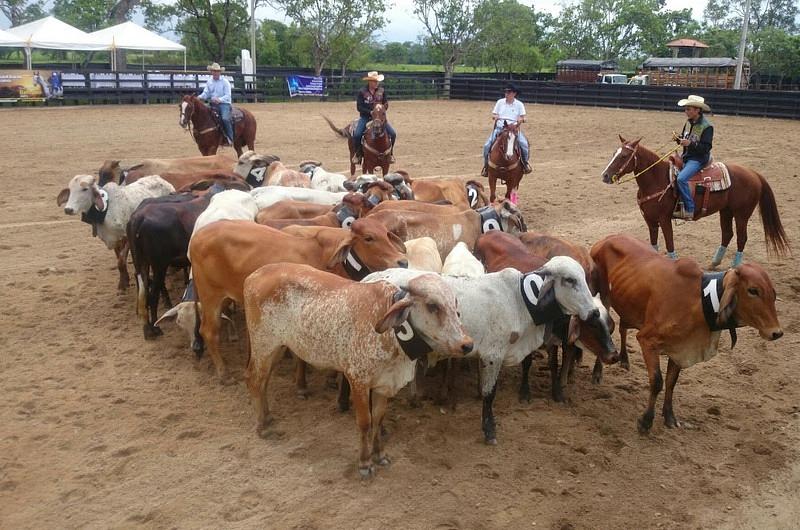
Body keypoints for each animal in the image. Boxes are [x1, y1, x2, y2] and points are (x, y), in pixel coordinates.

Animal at [191, 217, 410, 382]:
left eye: (387, 234)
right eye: (368, 238)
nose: (402, 261)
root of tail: (198, 236)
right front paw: (302, 382)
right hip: (210, 296)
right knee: (208, 331)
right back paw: (222, 372)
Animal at [588, 234, 780, 434]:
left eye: (773, 292)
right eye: (753, 290)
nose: (776, 332)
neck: (698, 302)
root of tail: (606, 239)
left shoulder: (680, 348)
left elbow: (671, 382)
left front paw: (670, 417)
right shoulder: (647, 341)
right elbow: (657, 382)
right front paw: (646, 421)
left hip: (629, 306)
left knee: (623, 327)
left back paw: (624, 359)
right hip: (603, 300)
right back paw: (598, 372)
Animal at [600, 134, 788, 266]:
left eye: (624, 156)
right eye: (614, 153)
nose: (605, 176)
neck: (657, 179)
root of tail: (754, 173)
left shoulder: (664, 219)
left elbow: (669, 243)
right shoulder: (650, 220)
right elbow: (653, 245)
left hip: (742, 214)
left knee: (742, 238)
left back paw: (735, 267)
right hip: (726, 211)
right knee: (727, 233)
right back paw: (714, 262)